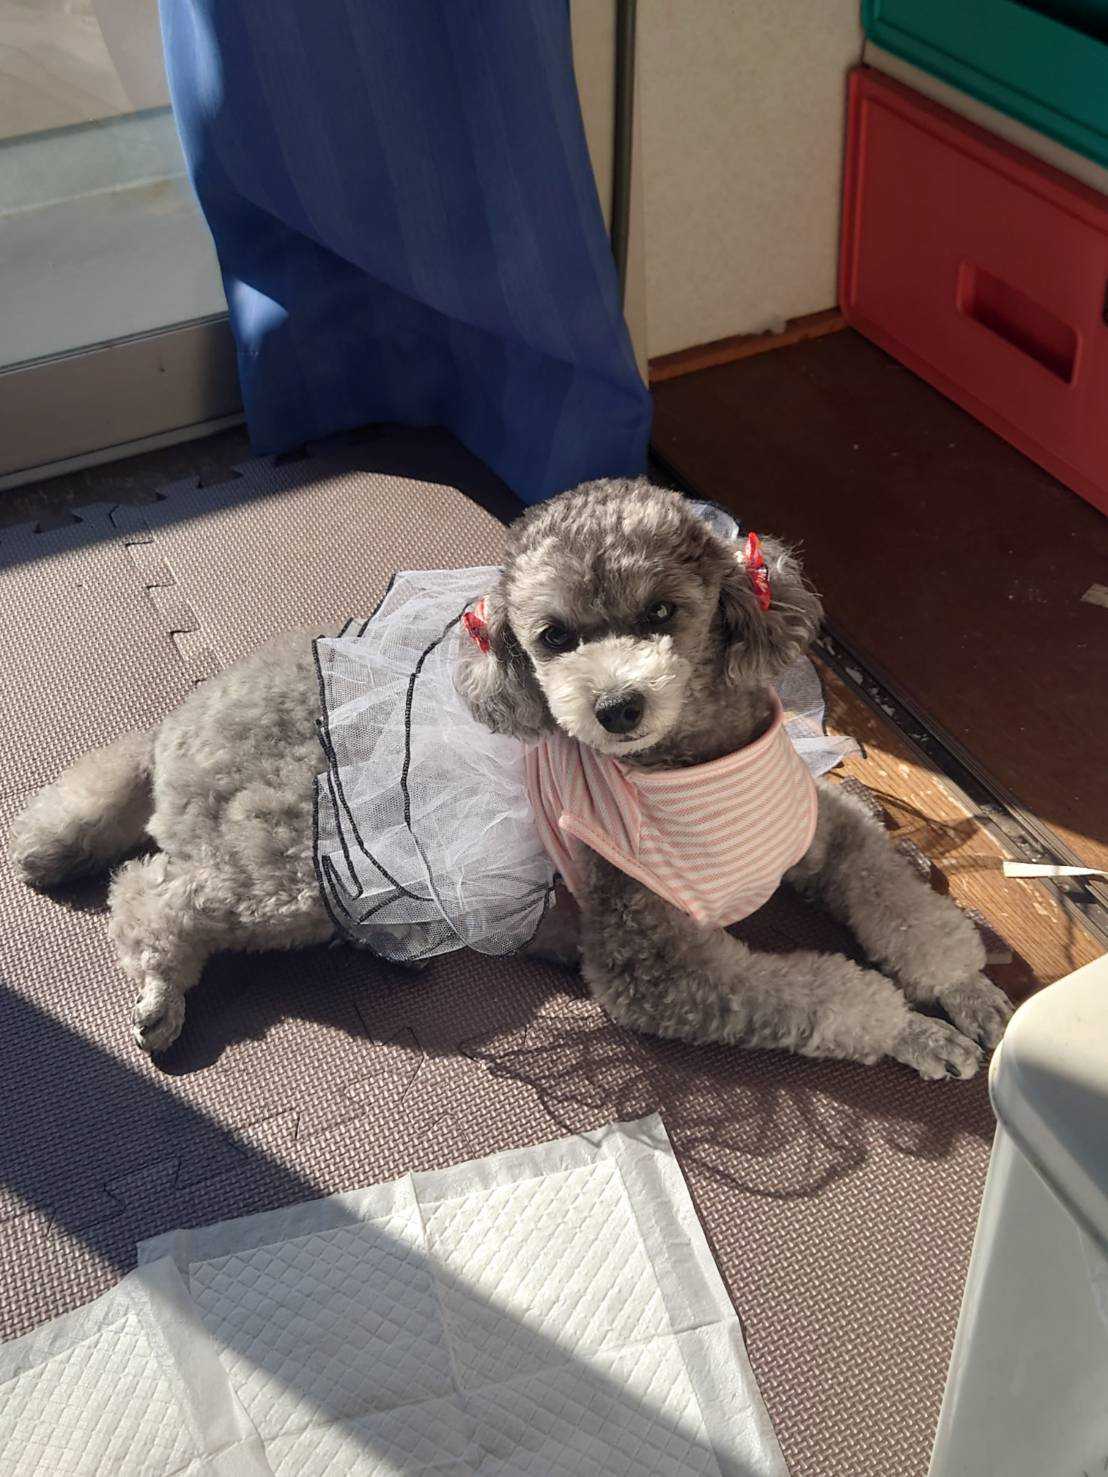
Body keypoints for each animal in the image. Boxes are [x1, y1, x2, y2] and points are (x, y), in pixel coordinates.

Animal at [9, 479, 1011, 1076]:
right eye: (553, 636)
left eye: (663, 613)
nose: (616, 708)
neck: (697, 767)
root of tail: (177, 723)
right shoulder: (649, 963)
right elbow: (825, 995)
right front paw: (914, 1032)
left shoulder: (820, 835)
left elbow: (905, 907)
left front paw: (965, 992)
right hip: (292, 872)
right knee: (150, 893)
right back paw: (159, 992)